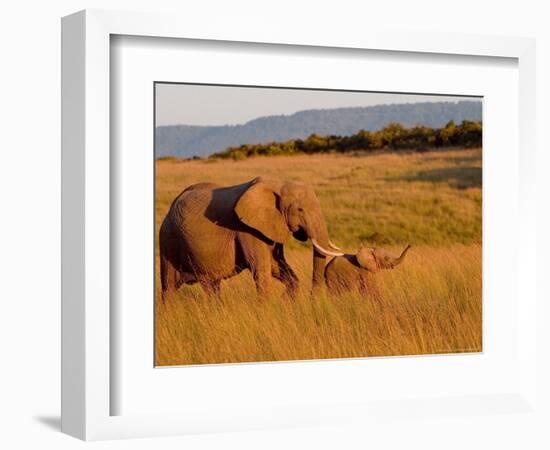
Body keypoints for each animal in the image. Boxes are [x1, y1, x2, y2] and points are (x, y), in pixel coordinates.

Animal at [157, 177, 342, 302]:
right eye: (300, 209)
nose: (313, 299)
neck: (277, 184)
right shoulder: (246, 229)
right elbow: (261, 270)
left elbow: (277, 266)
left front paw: (285, 302)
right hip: (168, 241)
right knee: (170, 287)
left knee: (211, 286)